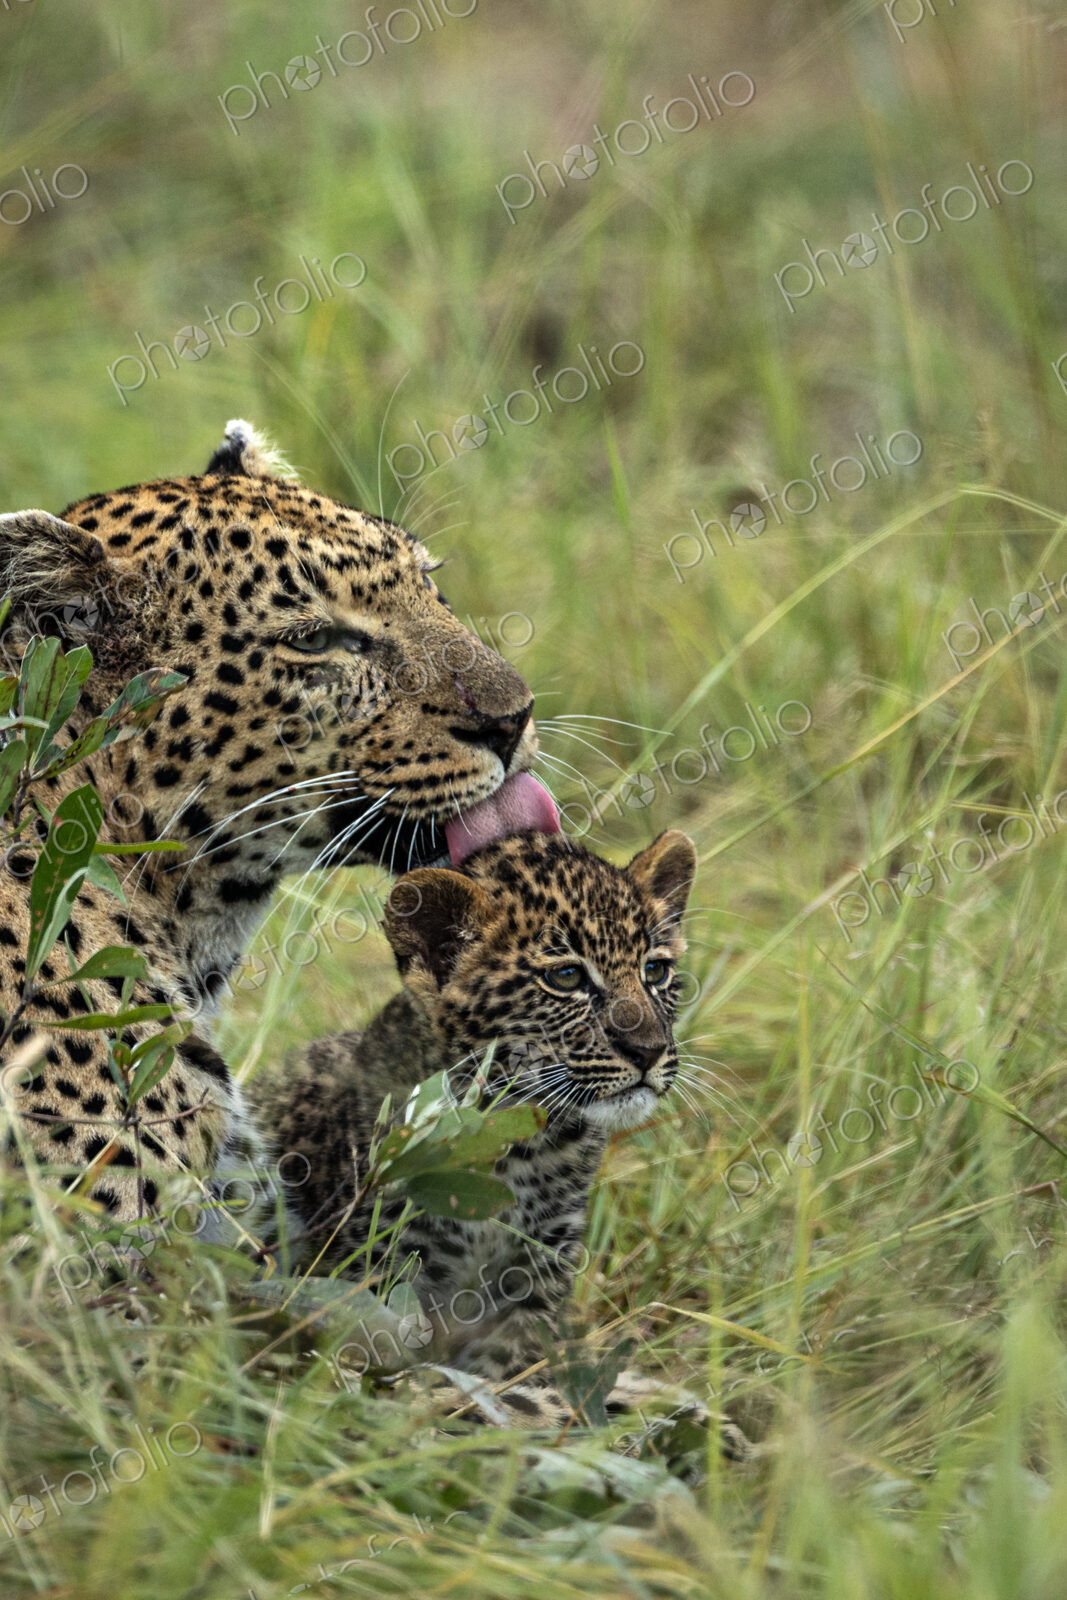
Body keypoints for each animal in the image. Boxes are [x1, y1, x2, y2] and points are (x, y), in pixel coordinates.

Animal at [252, 826, 742, 1439]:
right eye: (566, 977)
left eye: (655, 971)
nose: (649, 1051)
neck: (519, 1142)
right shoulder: (373, 1279)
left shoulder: (531, 1284)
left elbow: (507, 1386)